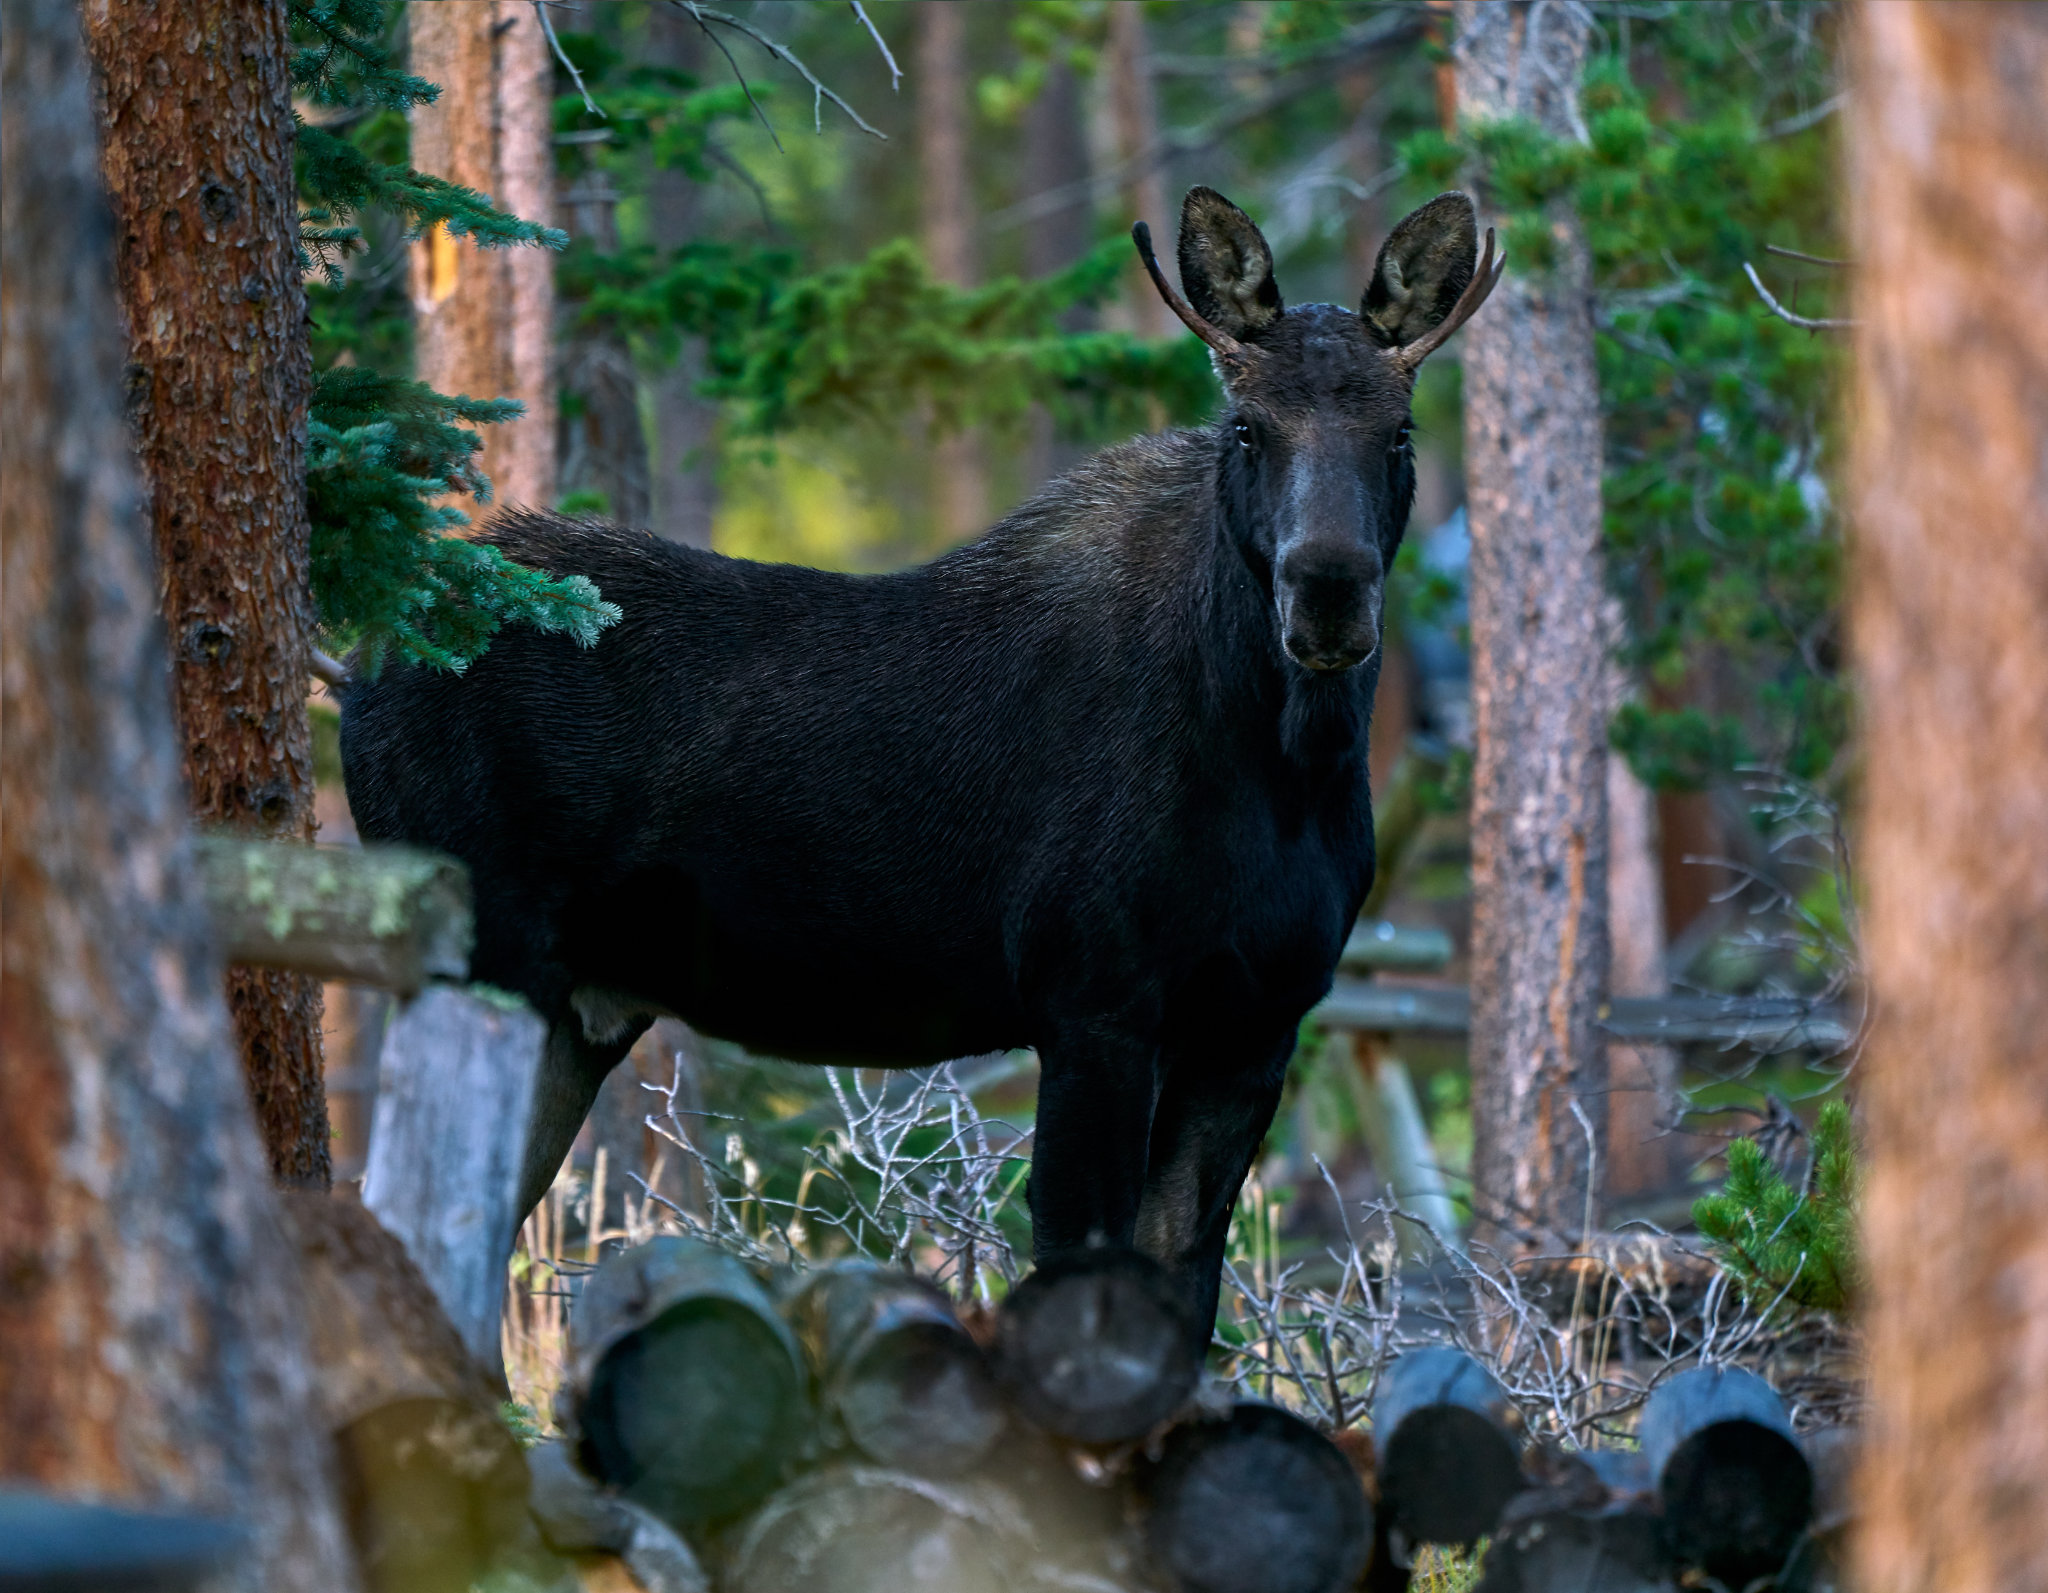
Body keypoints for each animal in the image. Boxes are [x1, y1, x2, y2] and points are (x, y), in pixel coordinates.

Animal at [340, 186, 1501, 1341]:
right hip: (484, 950)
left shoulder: (1258, 1023)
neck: (1290, 768)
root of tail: (355, 665)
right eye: (1249, 427)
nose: (1328, 592)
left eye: (1398, 430)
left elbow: (1182, 1291)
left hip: (577, 1005)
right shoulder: (1093, 1002)